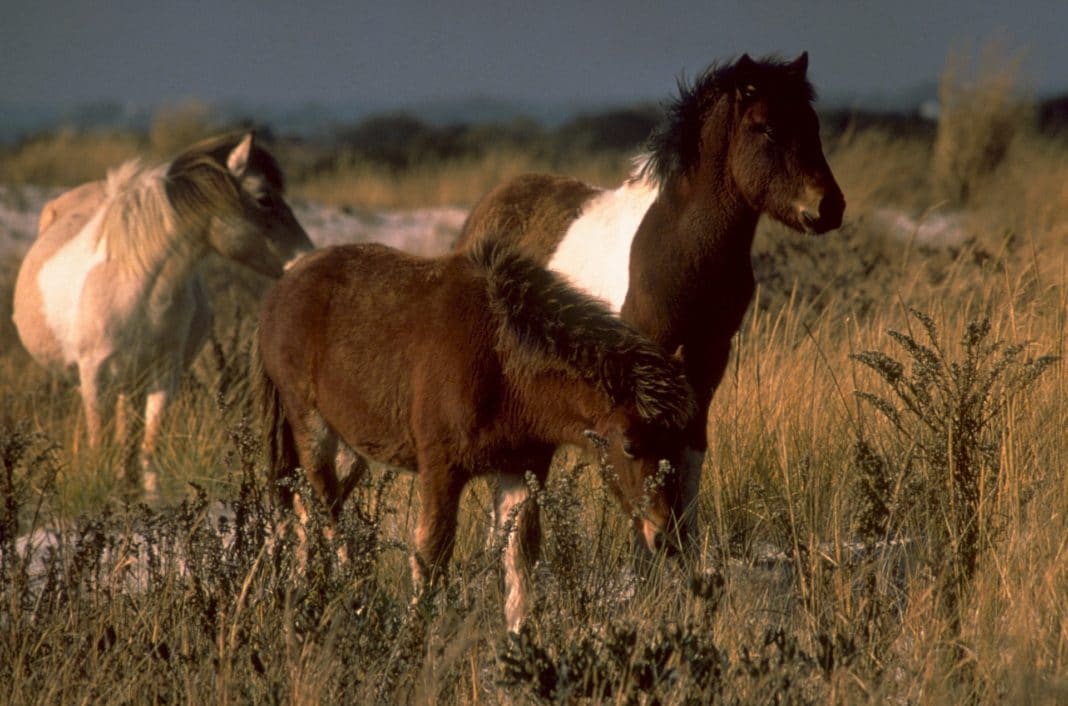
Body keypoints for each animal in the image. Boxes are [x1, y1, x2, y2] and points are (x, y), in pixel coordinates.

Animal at [12, 133, 311, 495]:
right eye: (264, 199)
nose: (305, 258)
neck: (135, 286)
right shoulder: (94, 376)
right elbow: (99, 443)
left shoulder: (163, 376)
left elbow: (148, 445)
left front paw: (150, 498)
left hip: (131, 384)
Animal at [254, 242, 696, 628]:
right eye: (630, 444)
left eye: (680, 440)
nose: (666, 537)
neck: (503, 367)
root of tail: (279, 290)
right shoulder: (441, 468)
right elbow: (430, 555)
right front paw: (417, 636)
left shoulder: (521, 468)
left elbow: (519, 562)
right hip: (310, 425)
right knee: (327, 510)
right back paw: (353, 598)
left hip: (350, 449)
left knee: (306, 509)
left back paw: (301, 592)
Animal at [454, 52, 845, 542]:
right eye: (767, 128)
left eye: (813, 124)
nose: (829, 207)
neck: (680, 247)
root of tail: (480, 218)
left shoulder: (709, 355)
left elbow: (692, 442)